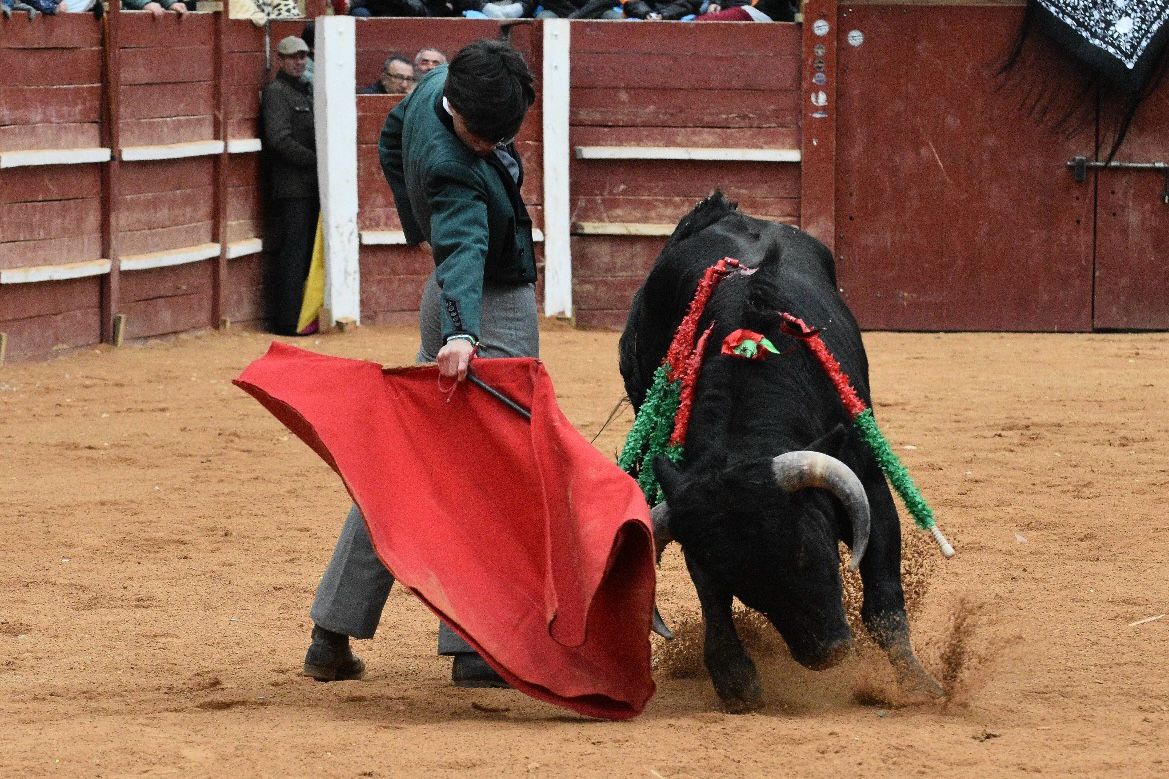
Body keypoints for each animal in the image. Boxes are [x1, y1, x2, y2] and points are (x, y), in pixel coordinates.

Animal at [621, 194, 939, 711]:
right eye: (747, 588)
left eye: (809, 554)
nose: (827, 653)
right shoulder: (698, 522)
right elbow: (711, 597)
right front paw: (735, 682)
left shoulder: (869, 487)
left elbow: (884, 602)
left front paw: (918, 685)